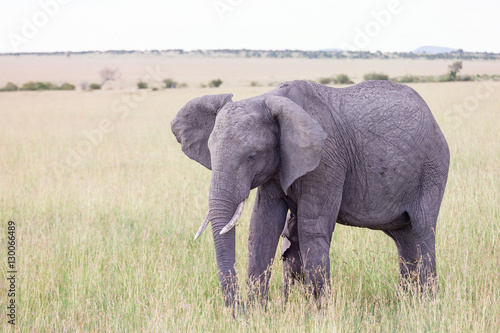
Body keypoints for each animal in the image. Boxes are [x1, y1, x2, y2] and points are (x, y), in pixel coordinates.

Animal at [171, 79, 450, 308]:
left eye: (252, 156)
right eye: (210, 151)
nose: (237, 309)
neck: (268, 97)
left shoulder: (326, 159)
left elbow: (311, 229)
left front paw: (320, 313)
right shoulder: (278, 165)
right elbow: (262, 227)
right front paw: (257, 314)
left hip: (432, 168)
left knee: (423, 229)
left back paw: (429, 304)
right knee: (404, 237)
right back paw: (407, 302)